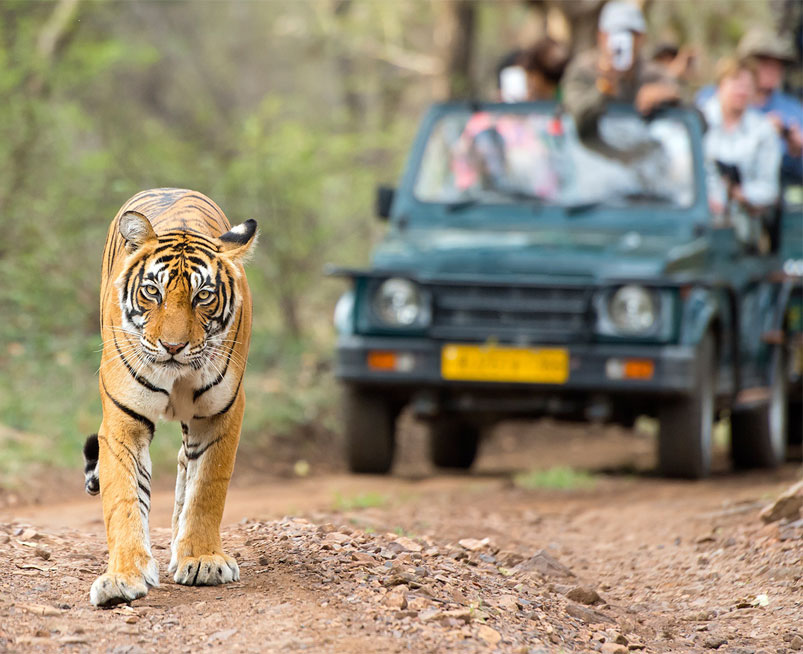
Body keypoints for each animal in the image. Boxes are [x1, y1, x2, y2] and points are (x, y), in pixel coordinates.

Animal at [83, 187, 258, 608]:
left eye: (203, 296)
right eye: (153, 291)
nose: (173, 347)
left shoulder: (221, 414)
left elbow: (207, 487)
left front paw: (203, 559)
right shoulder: (123, 420)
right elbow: (124, 499)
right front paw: (122, 577)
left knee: (185, 464)